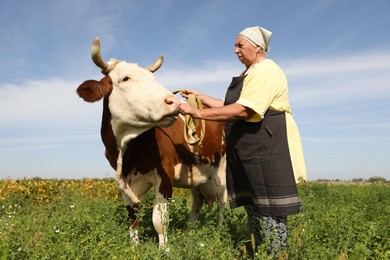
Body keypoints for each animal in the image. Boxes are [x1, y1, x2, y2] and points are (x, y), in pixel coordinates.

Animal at [76, 37, 227, 247]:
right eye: (125, 78)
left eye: (154, 79)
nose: (174, 102)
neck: (128, 151)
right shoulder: (124, 180)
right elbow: (133, 219)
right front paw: (134, 247)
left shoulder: (165, 175)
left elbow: (159, 220)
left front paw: (165, 249)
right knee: (197, 202)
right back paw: (190, 229)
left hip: (224, 170)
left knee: (222, 202)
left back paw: (220, 230)